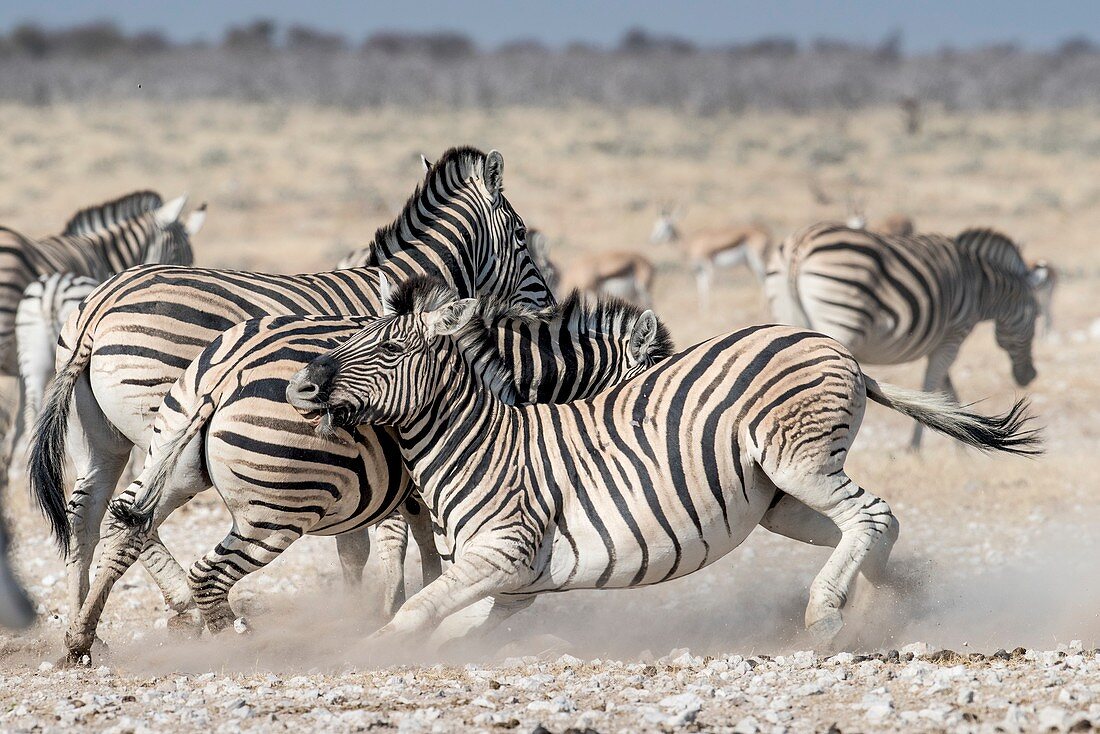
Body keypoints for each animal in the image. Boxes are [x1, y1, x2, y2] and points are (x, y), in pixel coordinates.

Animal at [30, 146, 554, 633]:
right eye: (521, 235)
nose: (548, 308)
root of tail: (99, 306)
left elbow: (360, 540)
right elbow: (392, 530)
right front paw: (385, 607)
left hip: (103, 437)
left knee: (90, 513)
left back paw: (84, 628)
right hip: (156, 425)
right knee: (138, 518)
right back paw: (181, 604)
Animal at [62, 279, 677, 660]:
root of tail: (231, 364)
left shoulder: (417, 490)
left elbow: (403, 553)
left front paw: (388, 612)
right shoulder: (439, 487)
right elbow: (419, 554)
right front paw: (408, 615)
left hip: (170, 452)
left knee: (120, 523)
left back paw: (82, 639)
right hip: (274, 511)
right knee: (206, 569)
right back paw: (235, 642)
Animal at [272, 283, 1029, 651]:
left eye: (389, 350)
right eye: (352, 337)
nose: (300, 388)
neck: (479, 446)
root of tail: (831, 345)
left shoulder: (508, 552)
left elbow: (415, 612)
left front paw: (361, 652)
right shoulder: (512, 581)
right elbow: (452, 619)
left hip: (800, 462)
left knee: (869, 515)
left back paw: (825, 614)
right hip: (779, 500)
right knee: (873, 525)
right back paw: (891, 605)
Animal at [761, 224, 1042, 451]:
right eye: (1037, 315)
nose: (1030, 376)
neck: (982, 284)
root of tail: (800, 245)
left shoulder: (941, 342)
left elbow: (946, 389)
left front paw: (963, 442)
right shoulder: (952, 337)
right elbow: (932, 385)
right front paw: (917, 446)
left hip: (789, 318)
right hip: (842, 318)